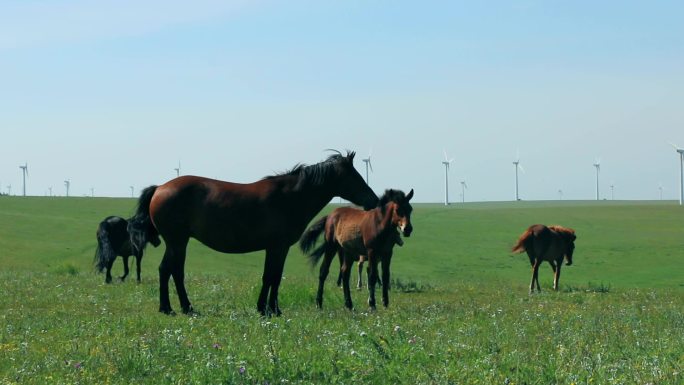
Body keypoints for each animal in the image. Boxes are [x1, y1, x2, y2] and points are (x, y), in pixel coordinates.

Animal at [125, 151, 376, 316]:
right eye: (354, 176)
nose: (373, 200)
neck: (290, 197)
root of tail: (159, 188)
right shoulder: (277, 247)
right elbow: (271, 277)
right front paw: (269, 309)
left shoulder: (276, 248)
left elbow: (273, 276)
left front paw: (268, 308)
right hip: (177, 241)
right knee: (172, 271)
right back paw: (180, 308)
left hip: (177, 242)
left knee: (169, 271)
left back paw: (171, 307)